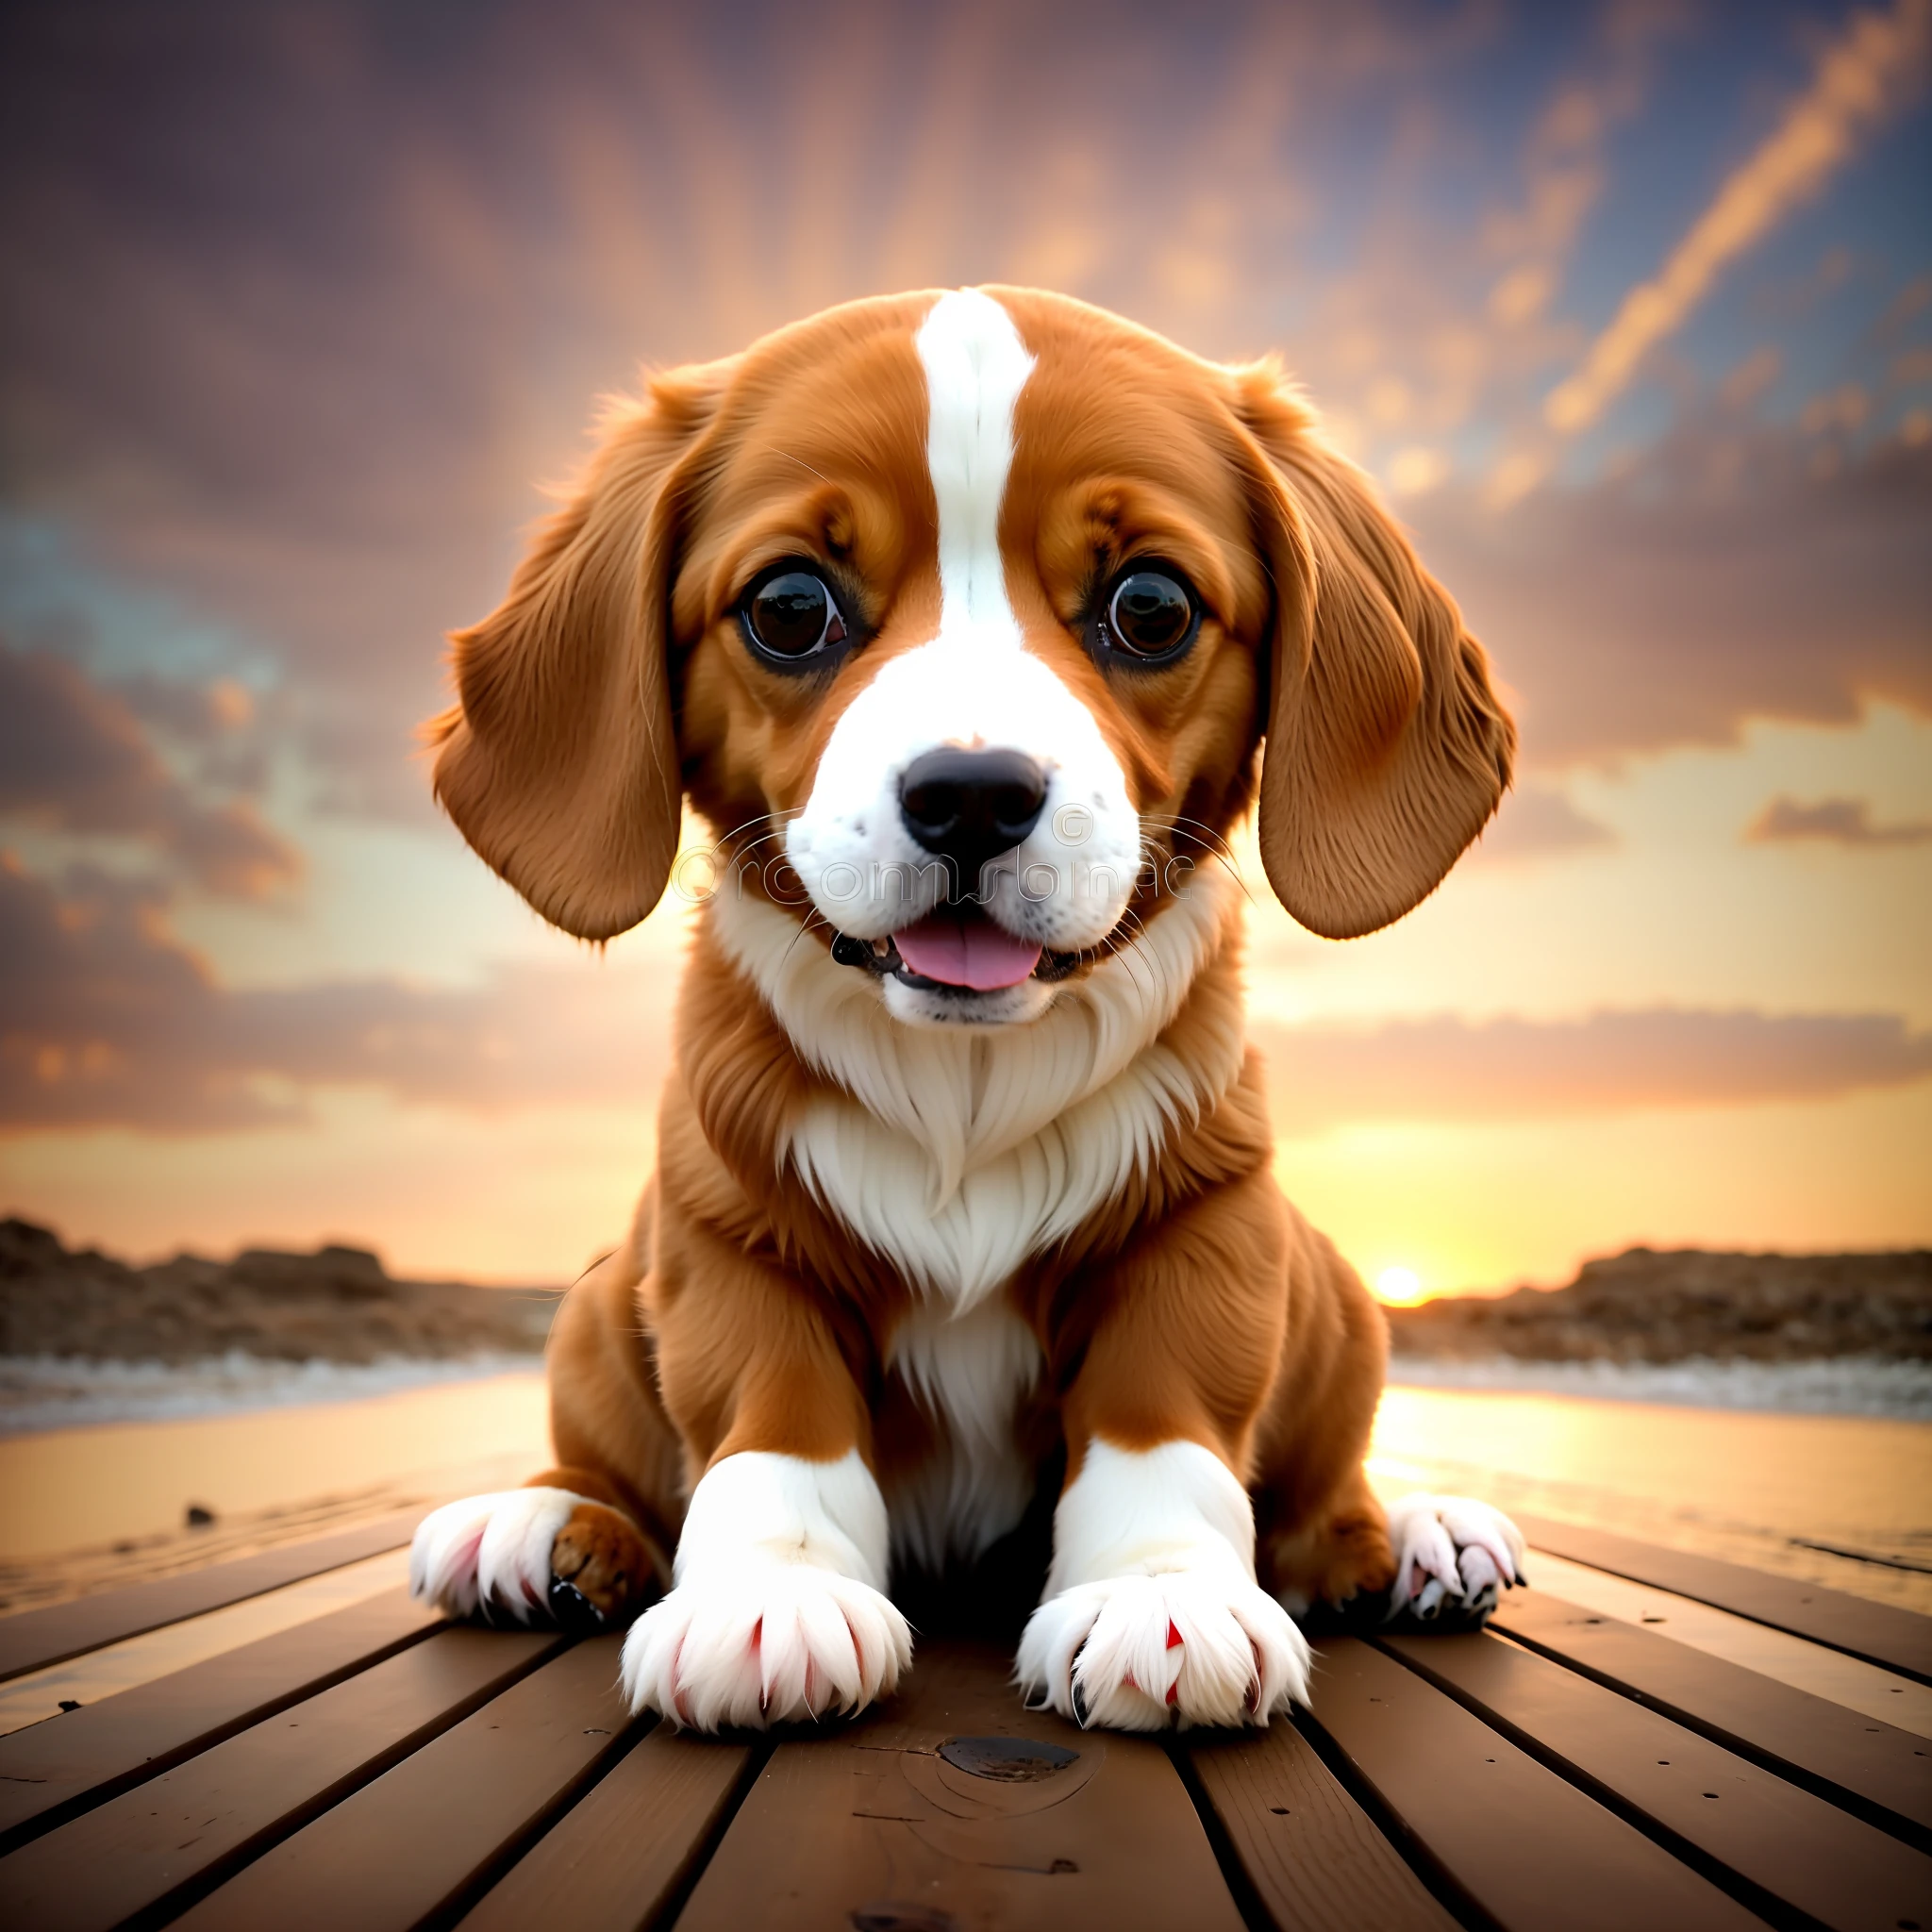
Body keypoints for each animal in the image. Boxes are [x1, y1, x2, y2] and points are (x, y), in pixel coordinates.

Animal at [408, 286, 1522, 1739]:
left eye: (1151, 606)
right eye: (789, 607)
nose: (974, 796)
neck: (963, 1079)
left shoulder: (1202, 1226)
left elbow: (1166, 1417)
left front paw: (1165, 1594)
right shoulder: (731, 1233)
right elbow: (772, 1414)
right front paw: (770, 1593)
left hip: (1332, 1292)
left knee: (1320, 1502)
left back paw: (1416, 1540)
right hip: (596, 1307)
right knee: (609, 1462)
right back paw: (541, 1524)